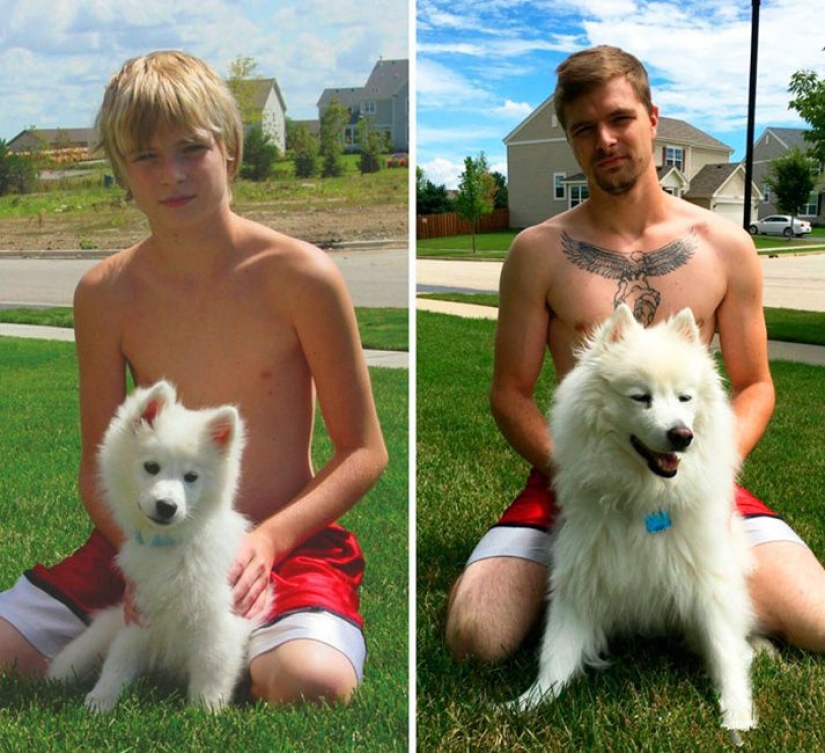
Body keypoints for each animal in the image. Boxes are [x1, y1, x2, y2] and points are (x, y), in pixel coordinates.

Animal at [49, 378, 260, 712]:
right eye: (151, 467)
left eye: (191, 477)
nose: (166, 507)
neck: (171, 547)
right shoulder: (139, 613)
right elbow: (119, 660)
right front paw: (101, 700)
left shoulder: (218, 624)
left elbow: (212, 669)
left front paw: (205, 713)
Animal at [512, 304, 756, 736]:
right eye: (641, 397)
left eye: (685, 397)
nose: (682, 435)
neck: (647, 499)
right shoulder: (582, 573)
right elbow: (557, 650)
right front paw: (531, 701)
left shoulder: (708, 579)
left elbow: (724, 648)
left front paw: (737, 714)